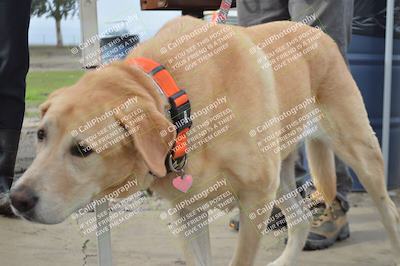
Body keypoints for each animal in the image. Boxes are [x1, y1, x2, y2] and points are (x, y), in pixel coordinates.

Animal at [9, 16, 400, 266]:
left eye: (82, 149)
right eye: (41, 135)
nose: (17, 199)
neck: (180, 104)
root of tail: (315, 31)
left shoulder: (255, 199)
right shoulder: (185, 212)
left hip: (361, 153)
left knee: (388, 211)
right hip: (282, 173)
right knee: (301, 219)